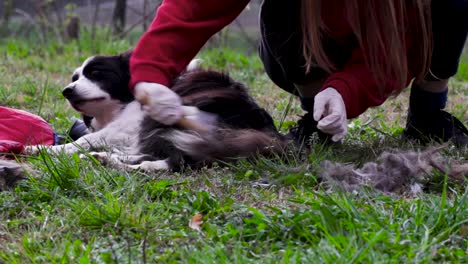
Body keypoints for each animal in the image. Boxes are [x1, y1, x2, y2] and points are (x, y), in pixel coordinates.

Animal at [29, 51, 288, 171]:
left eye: (96, 74)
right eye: (75, 78)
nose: (67, 91)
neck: (125, 101)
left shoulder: (128, 126)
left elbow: (85, 140)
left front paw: (44, 149)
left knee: (173, 161)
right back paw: (106, 159)